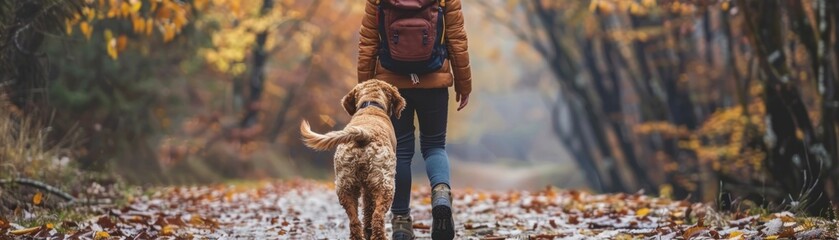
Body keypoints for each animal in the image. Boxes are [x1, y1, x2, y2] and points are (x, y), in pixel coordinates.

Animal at [302, 79, 406, 239]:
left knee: (354, 220)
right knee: (377, 217)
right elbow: (369, 210)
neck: (371, 105)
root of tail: (364, 135)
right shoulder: (370, 187)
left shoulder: (366, 186)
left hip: (346, 185)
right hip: (385, 184)